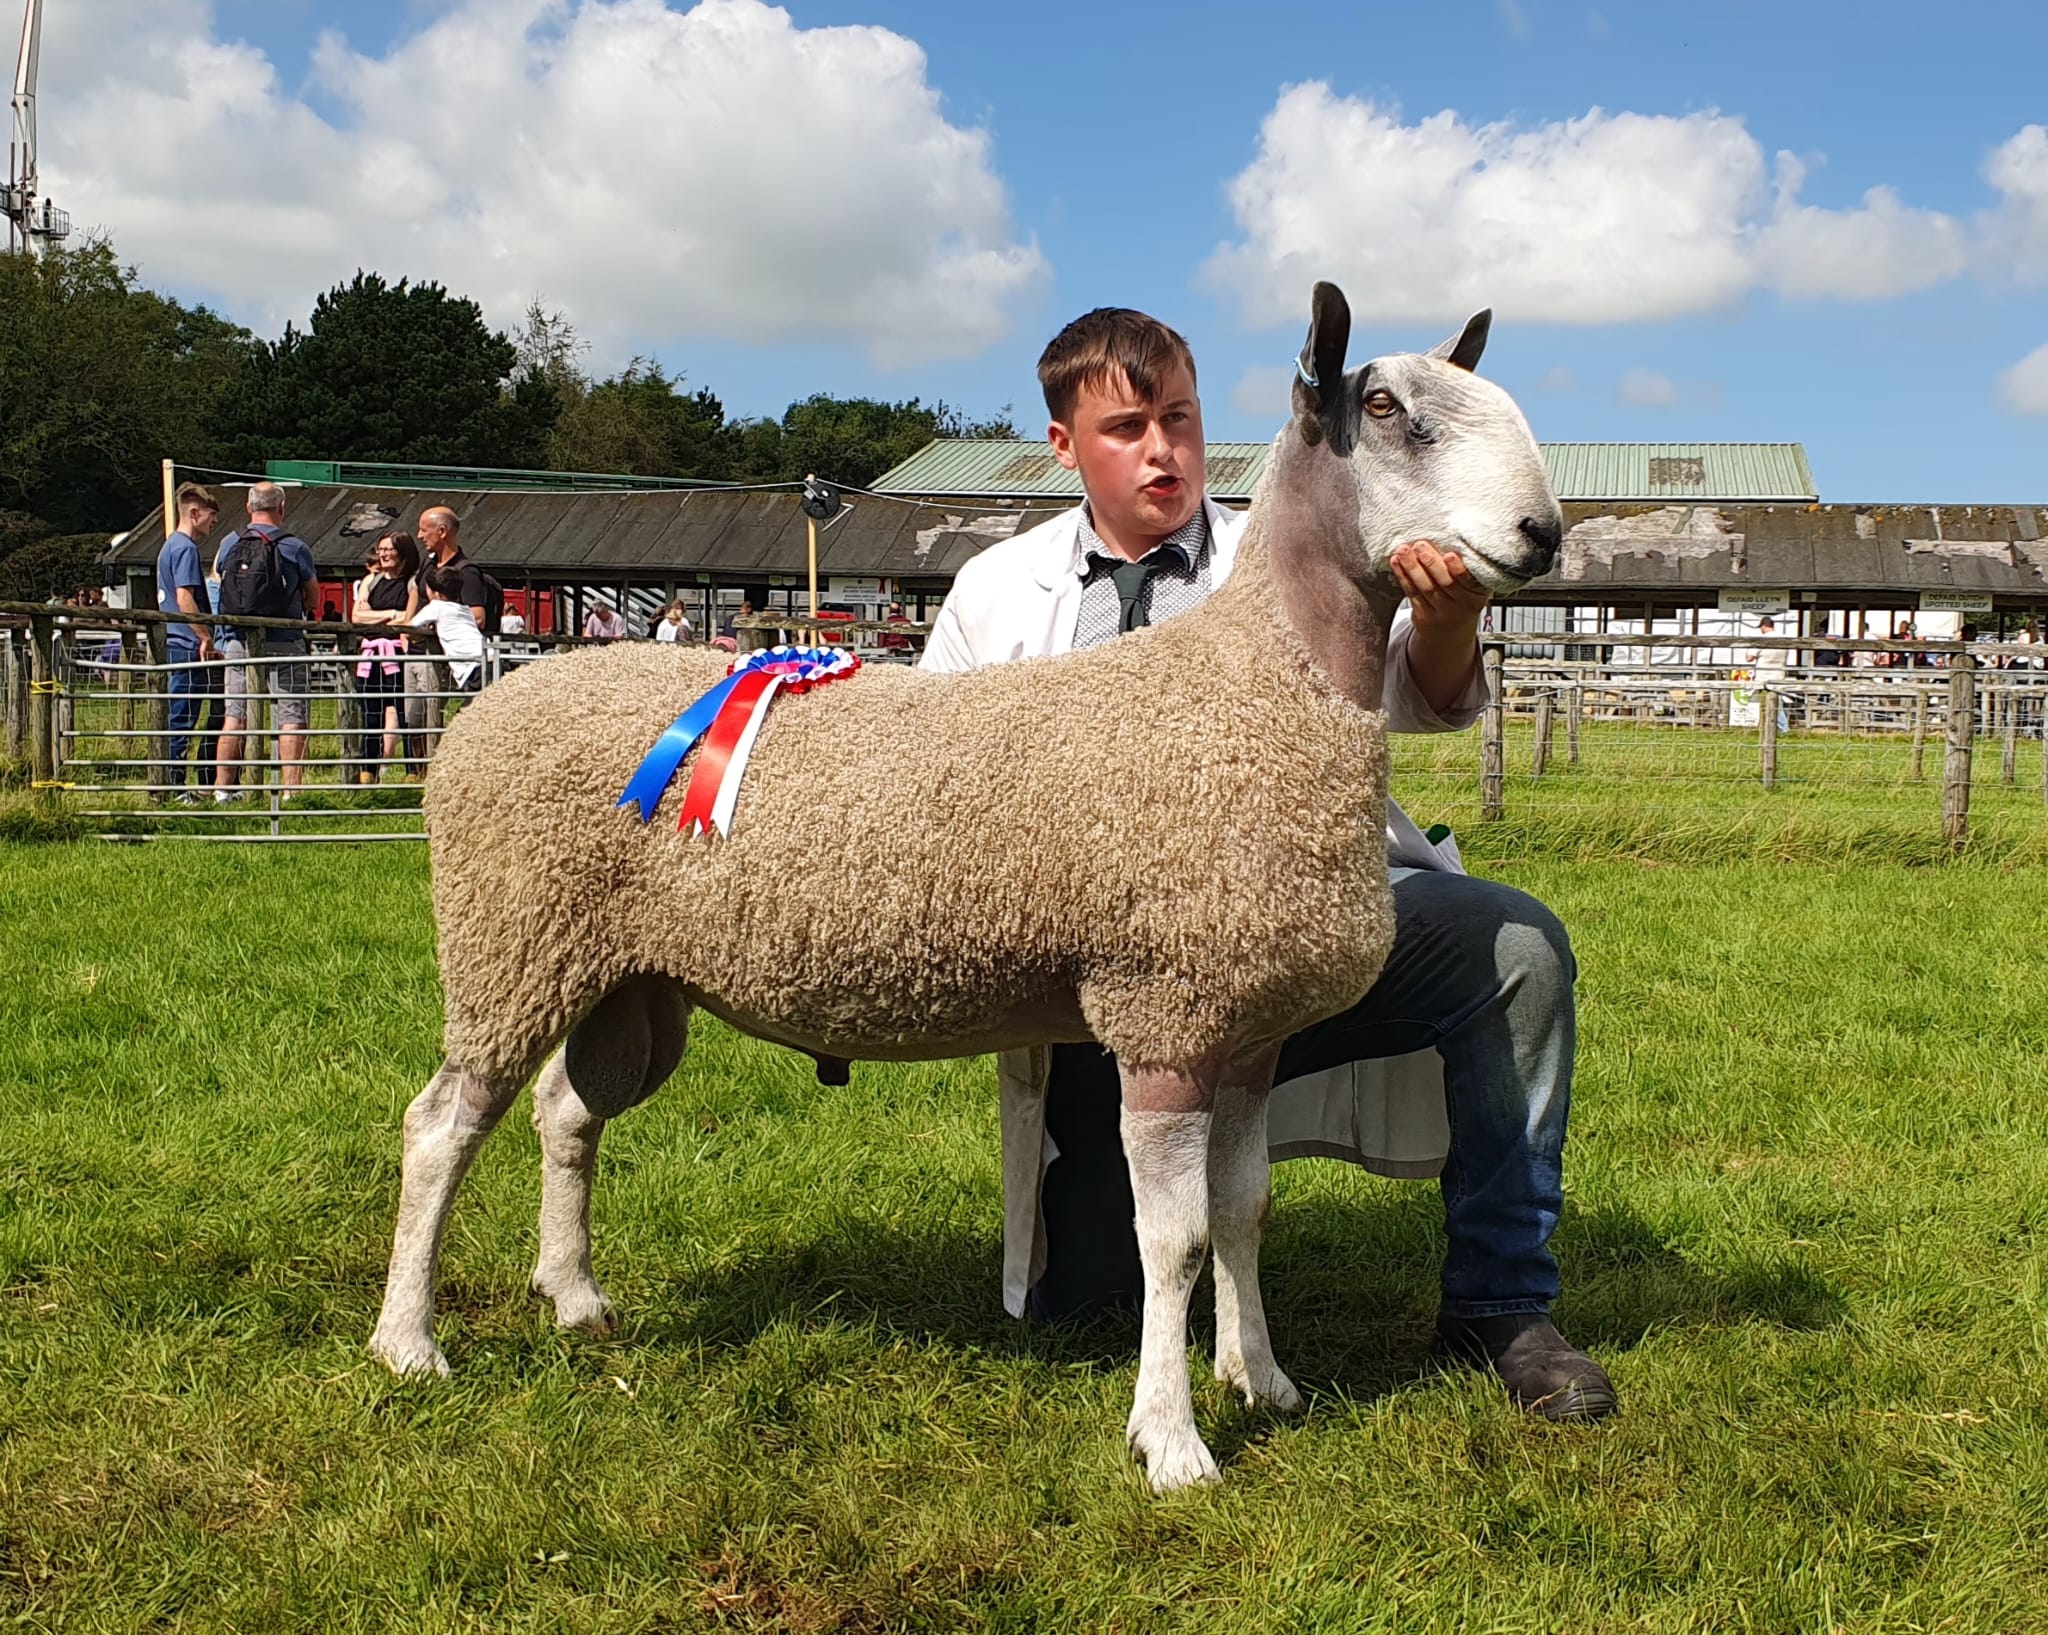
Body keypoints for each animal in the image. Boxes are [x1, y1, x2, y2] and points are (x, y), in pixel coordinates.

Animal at [372, 284, 1548, 1499]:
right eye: (1385, 409)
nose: (1542, 536)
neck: (1259, 684)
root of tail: (483, 715)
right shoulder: (1163, 1011)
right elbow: (1171, 1241)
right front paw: (1171, 1440)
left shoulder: (1247, 1023)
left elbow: (1243, 1210)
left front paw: (1259, 1378)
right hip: (510, 939)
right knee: (438, 1128)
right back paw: (410, 1343)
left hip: (620, 974)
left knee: (567, 1113)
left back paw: (574, 1296)